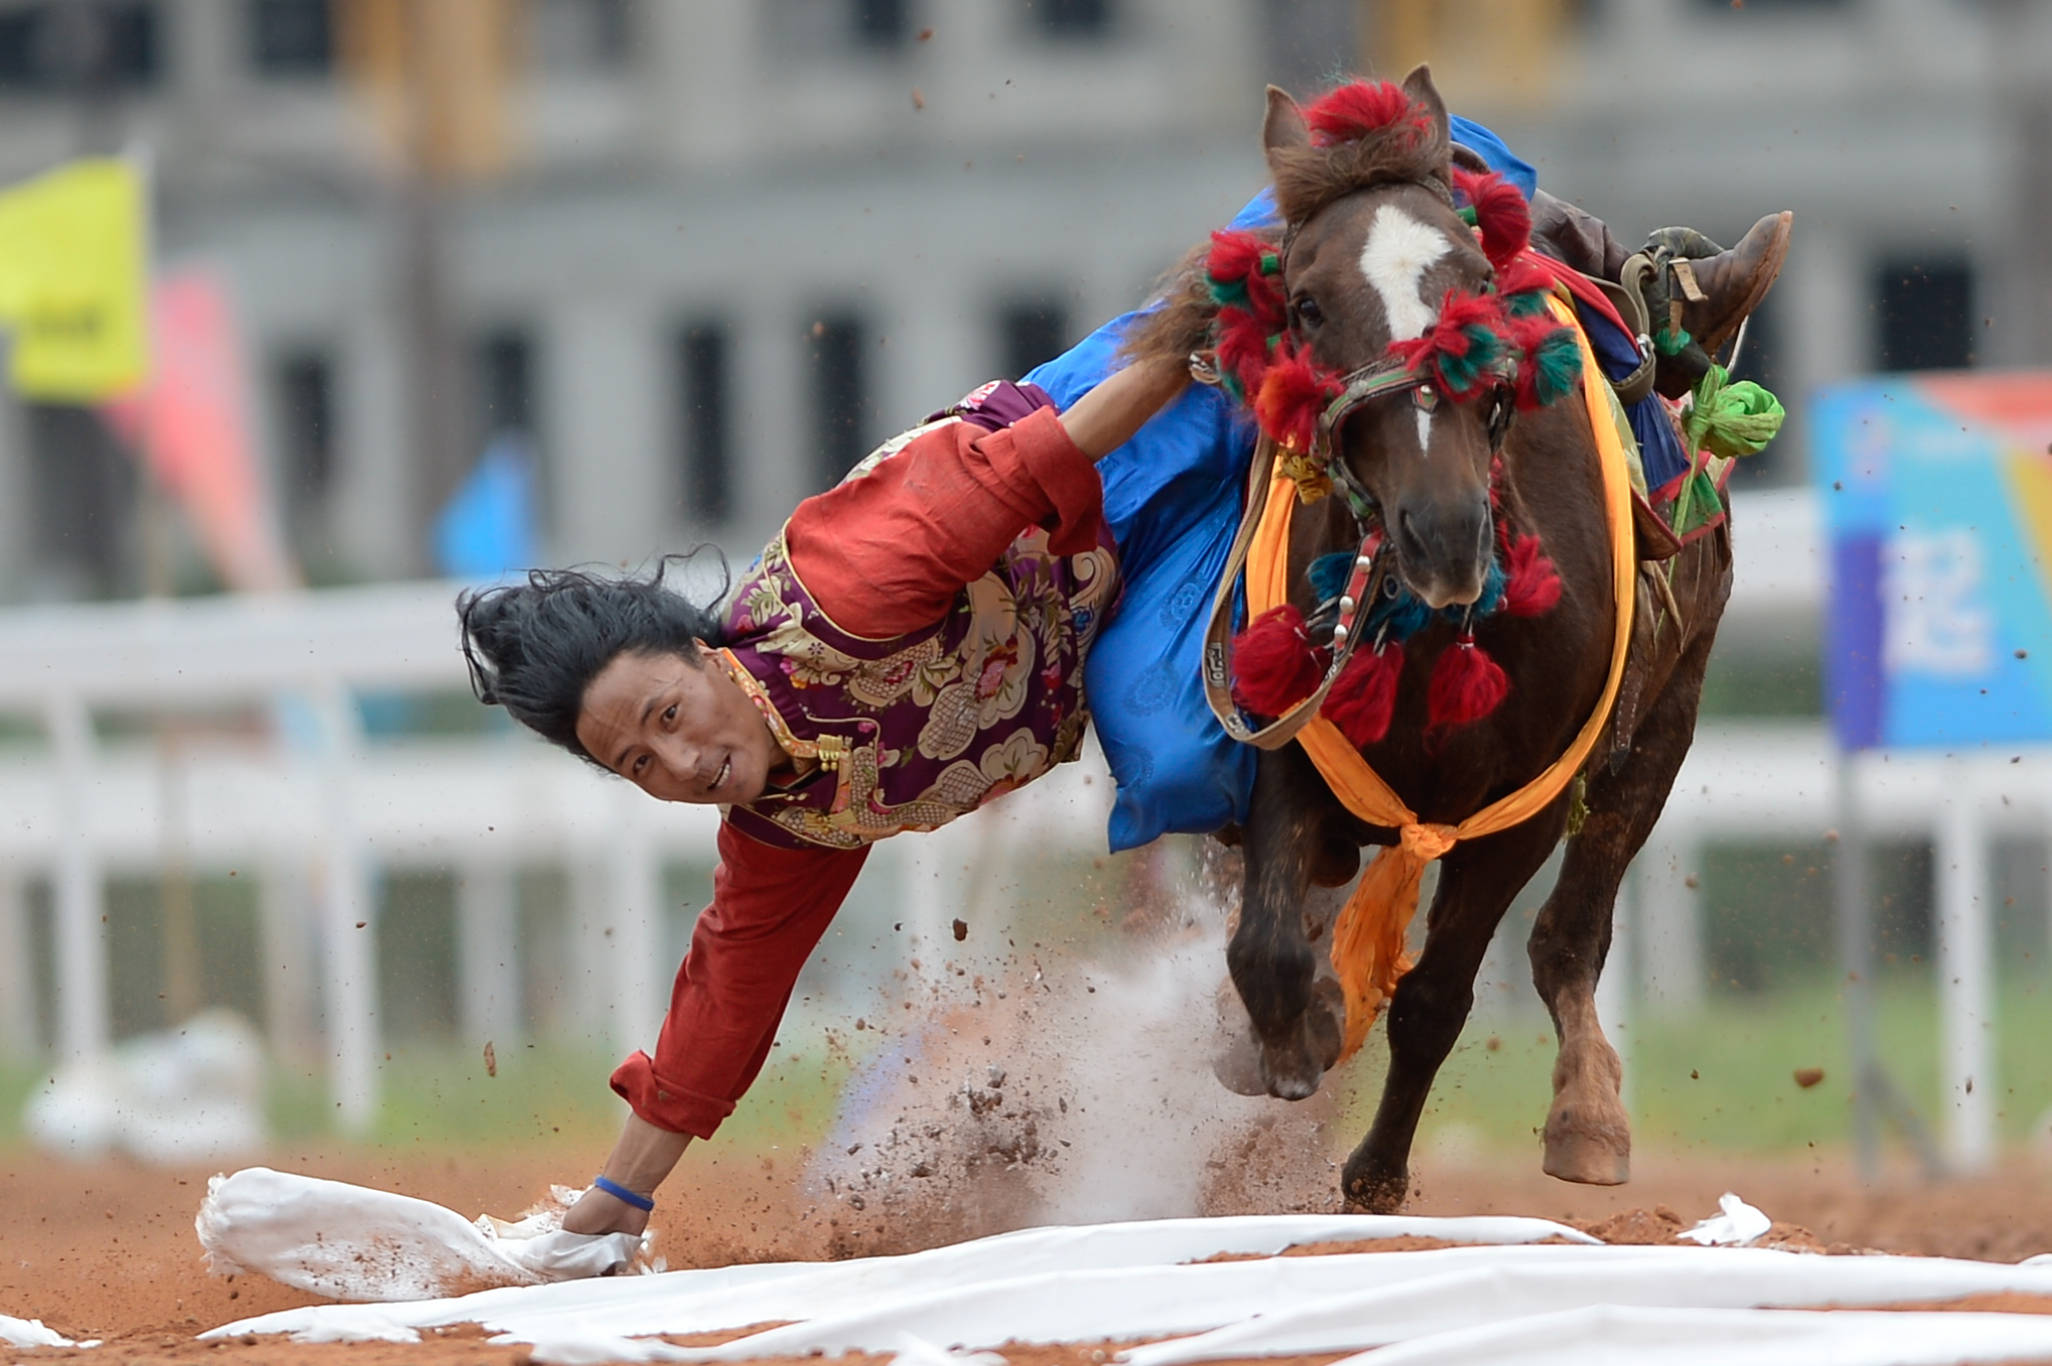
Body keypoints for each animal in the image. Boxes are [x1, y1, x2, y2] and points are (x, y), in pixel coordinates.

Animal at [1132, 69, 1740, 1206]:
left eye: (1479, 285)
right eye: (1308, 304)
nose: (1447, 528)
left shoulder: (1523, 803)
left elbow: (1436, 996)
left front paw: (1375, 1171)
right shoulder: (1290, 732)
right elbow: (1268, 946)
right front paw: (1295, 1034)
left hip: (1666, 718)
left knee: (1569, 936)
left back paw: (1588, 1112)